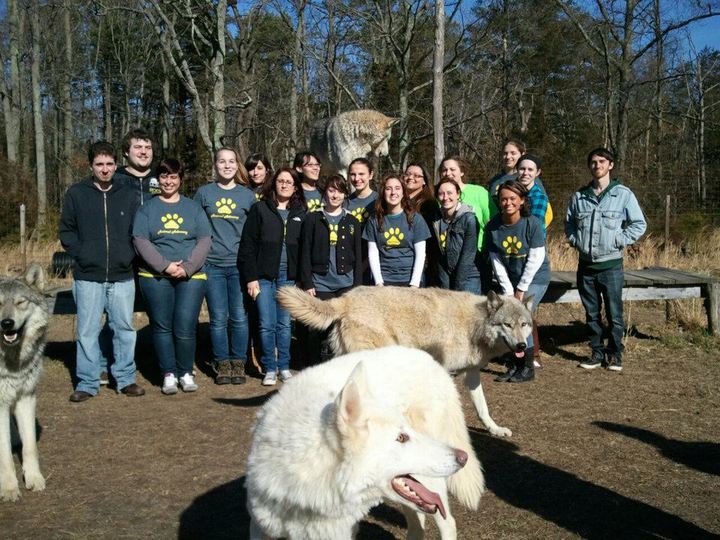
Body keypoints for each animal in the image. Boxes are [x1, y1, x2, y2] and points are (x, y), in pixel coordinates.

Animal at [276, 286, 536, 438]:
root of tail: (344, 298)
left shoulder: (471, 374)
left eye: (524, 324)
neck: (476, 325)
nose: (522, 346)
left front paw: (495, 429)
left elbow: (483, 408)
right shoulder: (444, 369)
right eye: (507, 325)